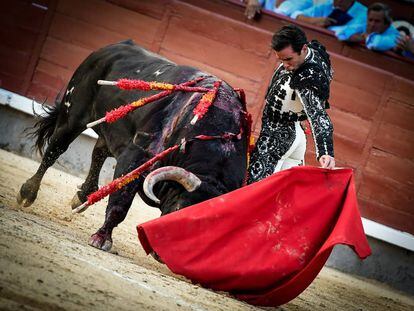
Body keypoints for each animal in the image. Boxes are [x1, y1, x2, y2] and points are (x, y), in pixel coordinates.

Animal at [17, 40, 249, 252]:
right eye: (179, 211)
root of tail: (109, 48)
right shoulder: (136, 156)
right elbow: (120, 201)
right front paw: (101, 239)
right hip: (72, 115)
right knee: (54, 151)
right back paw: (28, 192)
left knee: (99, 152)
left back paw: (83, 196)